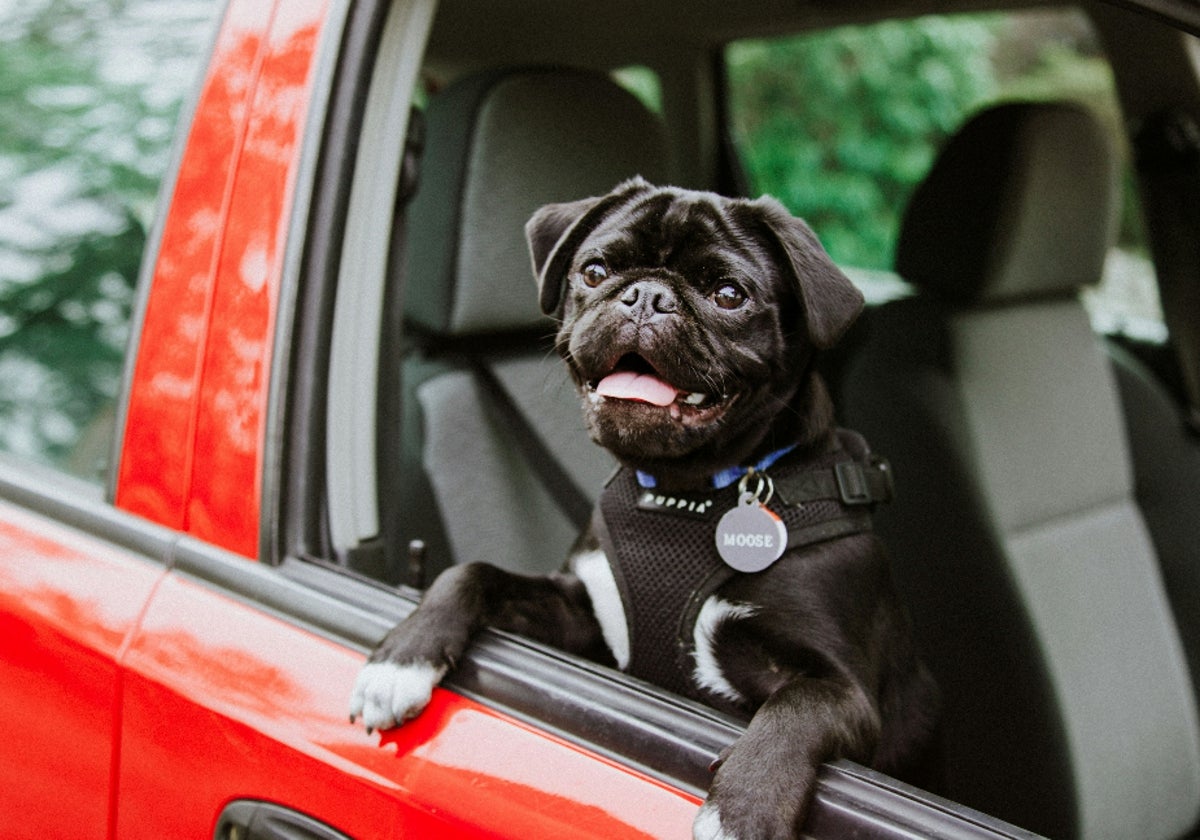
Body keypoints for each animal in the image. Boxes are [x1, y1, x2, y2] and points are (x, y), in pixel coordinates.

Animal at [350, 178, 936, 840]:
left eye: (729, 294)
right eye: (595, 271)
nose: (647, 295)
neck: (687, 493)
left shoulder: (845, 689)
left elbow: (796, 707)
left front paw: (742, 810)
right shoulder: (582, 617)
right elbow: (470, 573)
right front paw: (403, 655)